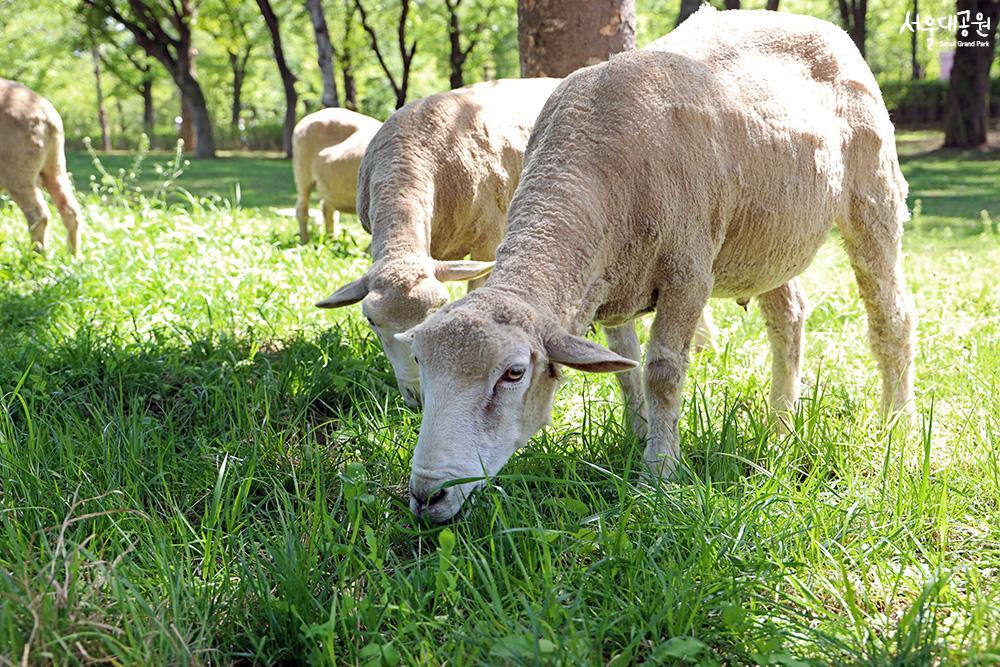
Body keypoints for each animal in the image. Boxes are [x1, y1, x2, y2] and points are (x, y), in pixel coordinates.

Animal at [0, 78, 82, 256]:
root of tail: (47, 116)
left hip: (18, 172)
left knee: (39, 216)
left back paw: (37, 257)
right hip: (55, 167)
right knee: (71, 210)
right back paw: (73, 256)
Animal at [292, 108, 382, 244]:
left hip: (328, 184)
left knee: (327, 210)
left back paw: (332, 241)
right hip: (302, 171)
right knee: (302, 208)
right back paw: (305, 241)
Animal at [396, 7, 916, 524]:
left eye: (513, 374)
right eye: (420, 360)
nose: (426, 497)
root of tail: (814, 22)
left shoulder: (689, 273)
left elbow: (662, 373)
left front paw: (659, 476)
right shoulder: (612, 286)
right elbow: (625, 370)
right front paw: (639, 439)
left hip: (874, 193)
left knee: (892, 318)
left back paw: (896, 428)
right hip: (769, 240)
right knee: (787, 318)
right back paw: (780, 427)